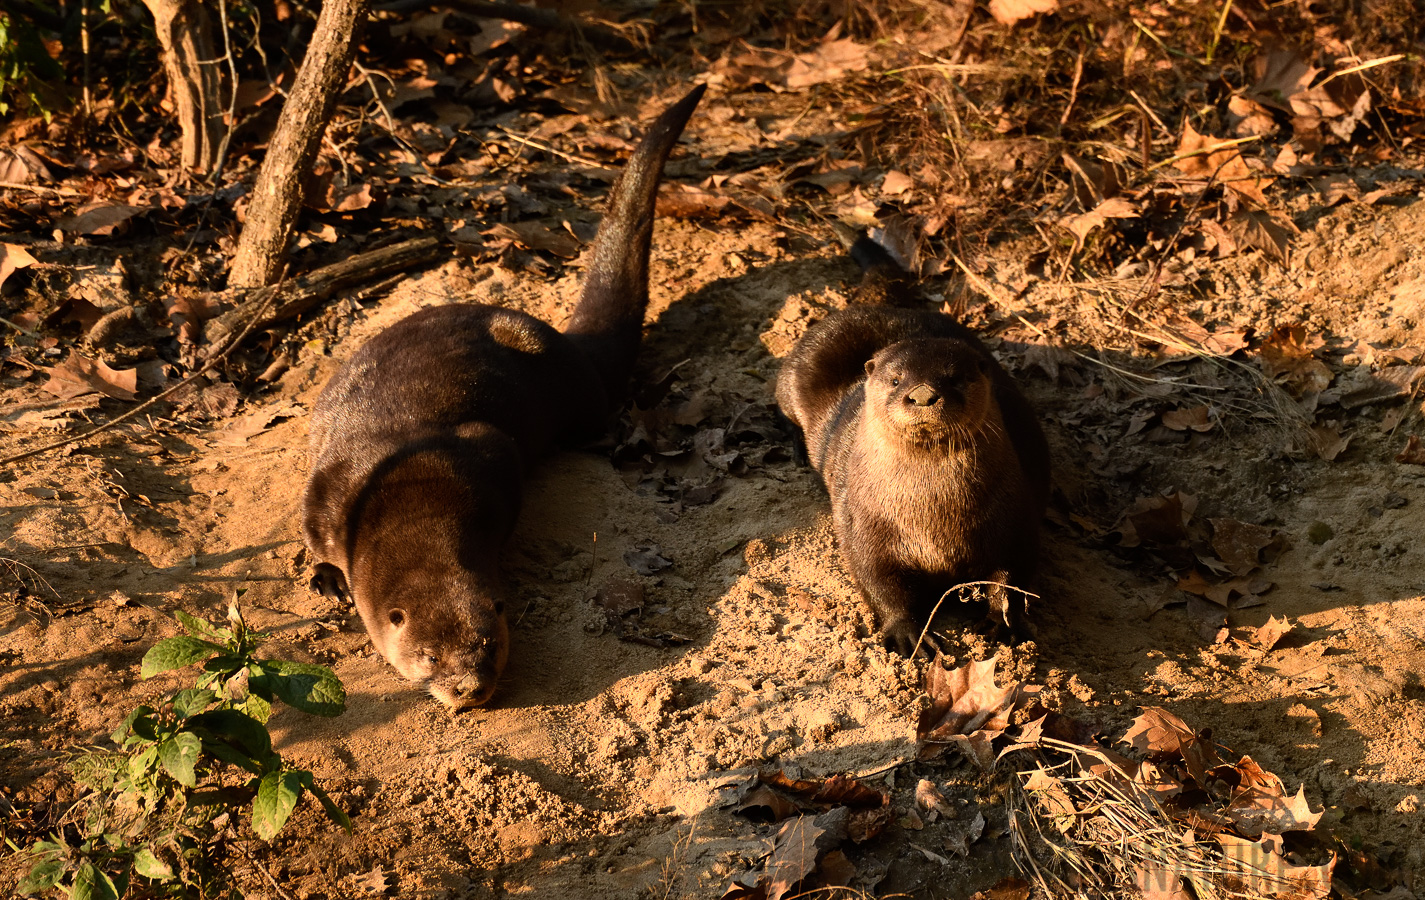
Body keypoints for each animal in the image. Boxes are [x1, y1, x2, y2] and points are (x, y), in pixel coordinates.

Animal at [303, 89, 703, 709]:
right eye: (428, 656)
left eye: (487, 644)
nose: (468, 688)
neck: (407, 493)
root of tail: (566, 344)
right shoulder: (330, 491)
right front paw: (326, 577)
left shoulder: (488, 452)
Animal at [775, 232, 1054, 655]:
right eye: (895, 379)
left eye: (955, 378)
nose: (922, 394)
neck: (932, 516)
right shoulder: (863, 522)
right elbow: (878, 579)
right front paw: (908, 632)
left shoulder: (1016, 514)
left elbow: (1014, 574)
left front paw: (1004, 622)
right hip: (799, 366)